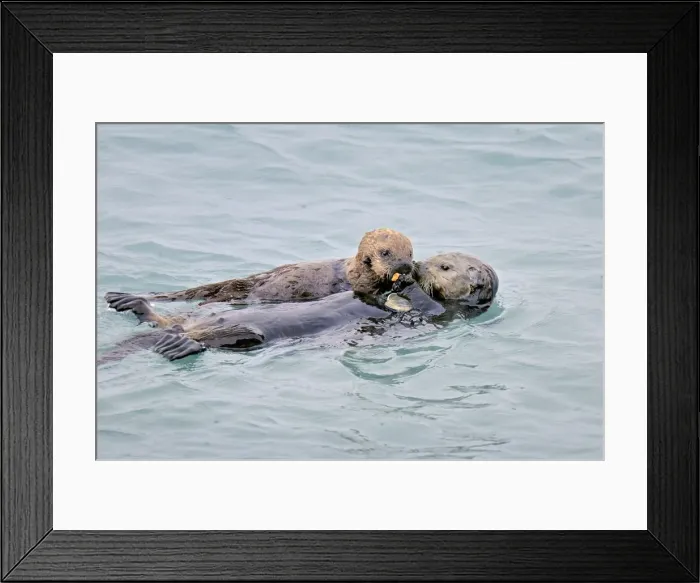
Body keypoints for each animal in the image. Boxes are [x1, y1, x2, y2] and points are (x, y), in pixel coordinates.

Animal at [106, 228, 414, 308]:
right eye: (385, 253)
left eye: (410, 252)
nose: (405, 265)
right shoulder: (356, 282)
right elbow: (368, 289)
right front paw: (397, 282)